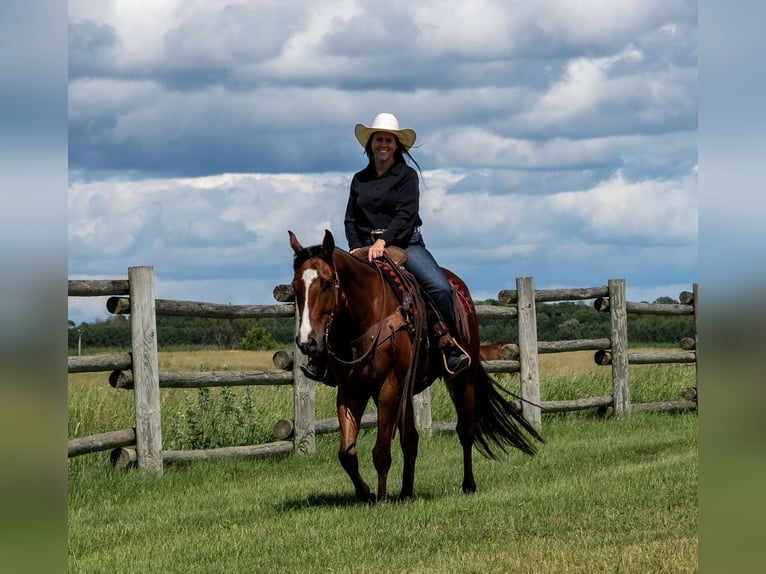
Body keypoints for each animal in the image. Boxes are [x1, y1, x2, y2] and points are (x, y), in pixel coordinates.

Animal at [290, 230, 544, 504]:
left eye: (328, 283)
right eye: (295, 287)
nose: (307, 342)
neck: (366, 313)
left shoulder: (387, 389)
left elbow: (381, 451)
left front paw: (381, 499)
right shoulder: (350, 391)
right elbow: (346, 453)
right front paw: (366, 493)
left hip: (462, 379)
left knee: (465, 430)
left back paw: (468, 485)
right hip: (407, 389)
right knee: (411, 439)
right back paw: (406, 492)